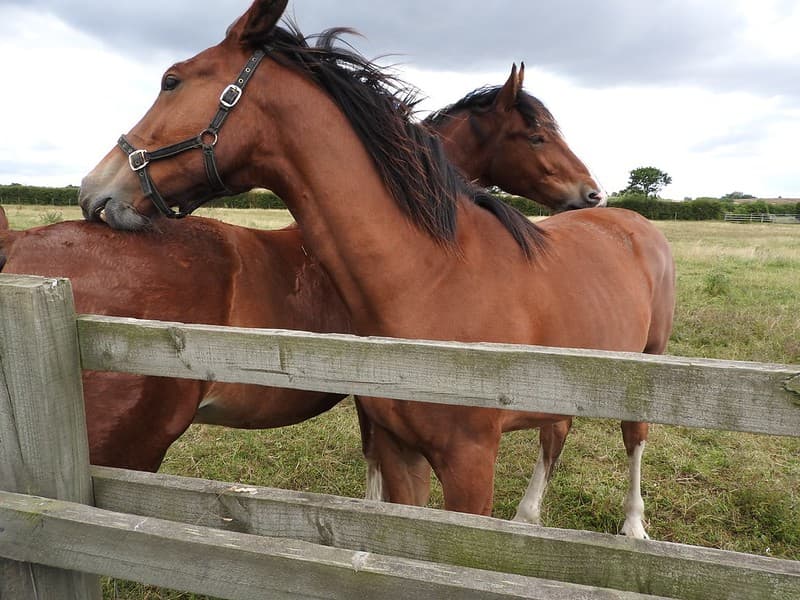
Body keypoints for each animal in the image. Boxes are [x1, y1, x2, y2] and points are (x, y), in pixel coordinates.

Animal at [77, 0, 675, 538]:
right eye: (536, 136)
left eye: (170, 81)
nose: (95, 189)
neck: (436, 275)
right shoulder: (399, 446)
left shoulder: (468, 464)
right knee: (559, 433)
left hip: (646, 367)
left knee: (631, 435)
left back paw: (632, 529)